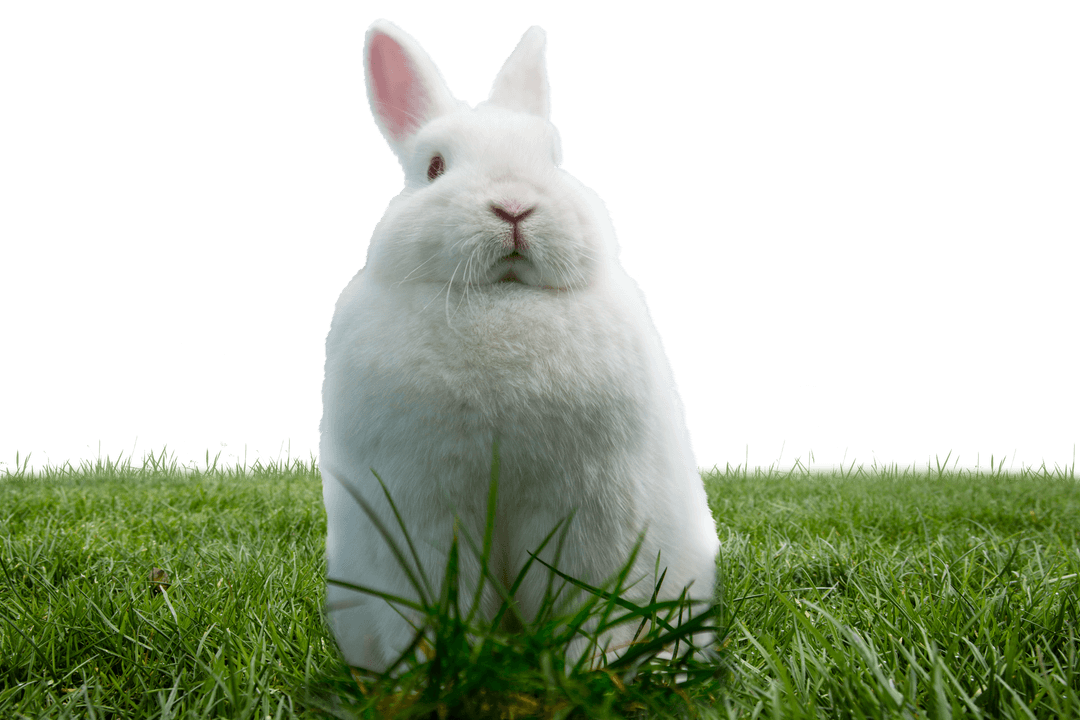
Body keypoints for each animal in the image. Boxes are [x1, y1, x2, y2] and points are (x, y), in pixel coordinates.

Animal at [318, 18, 720, 675]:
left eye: (553, 159)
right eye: (434, 167)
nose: (513, 207)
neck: (502, 297)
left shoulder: (592, 509)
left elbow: (590, 601)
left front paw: (589, 669)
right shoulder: (422, 513)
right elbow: (434, 604)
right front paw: (434, 670)